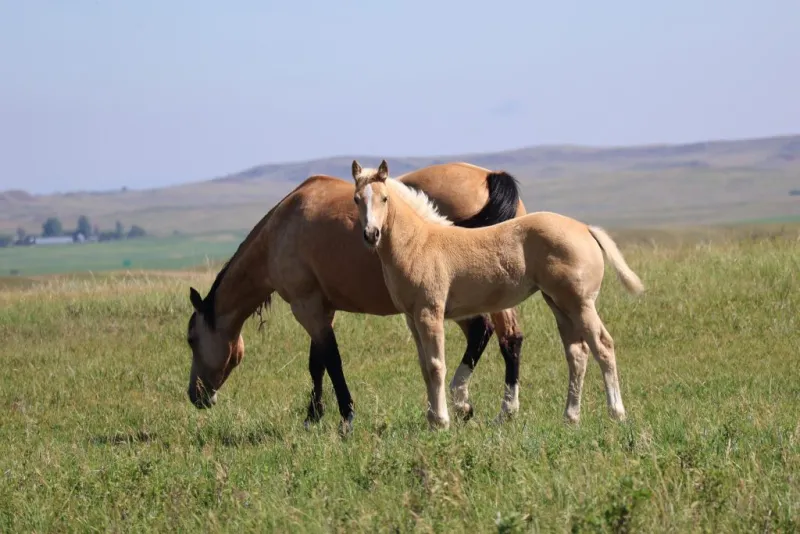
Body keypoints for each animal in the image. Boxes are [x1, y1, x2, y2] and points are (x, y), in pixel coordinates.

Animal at [185, 162, 528, 431]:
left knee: (495, 335)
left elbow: (332, 361)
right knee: (503, 337)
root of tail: (490, 177)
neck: (281, 230)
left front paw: (345, 416)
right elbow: (317, 363)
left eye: (191, 339)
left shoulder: (306, 306)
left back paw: (478, 406)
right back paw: (488, 408)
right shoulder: (321, 308)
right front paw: (313, 416)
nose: (194, 395)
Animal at [350, 159, 644, 430]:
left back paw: (616, 414)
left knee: (603, 346)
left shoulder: (429, 313)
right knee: (577, 353)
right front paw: (433, 419)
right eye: (356, 199)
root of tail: (585, 229)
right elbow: (424, 367)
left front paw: (442, 421)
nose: (371, 234)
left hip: (580, 304)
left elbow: (436, 366)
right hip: (559, 305)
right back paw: (570, 418)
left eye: (384, 198)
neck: (420, 243)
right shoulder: (412, 318)